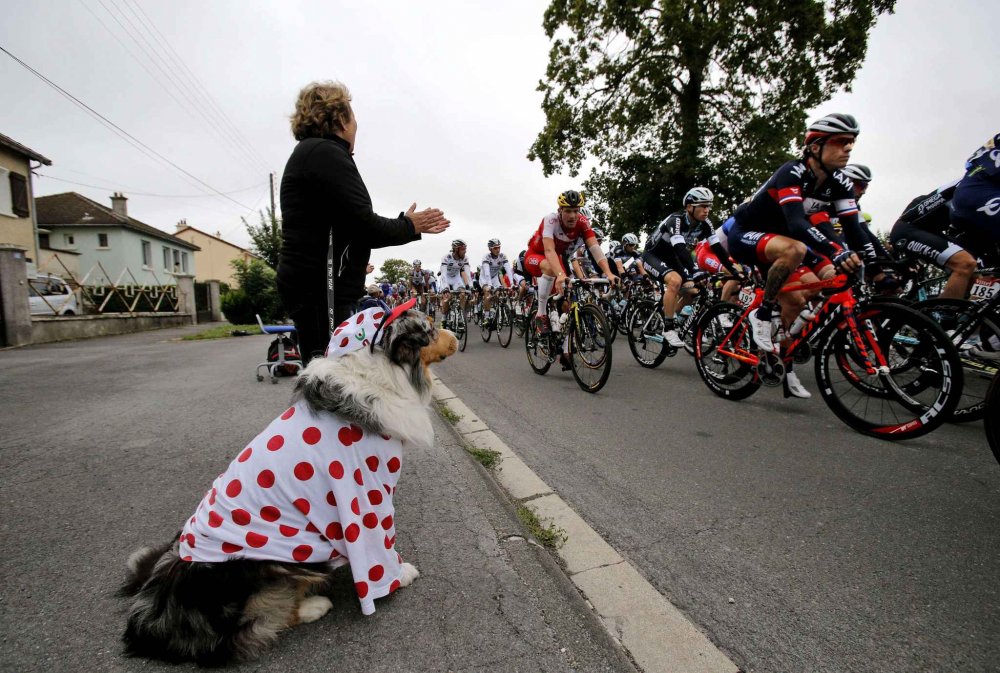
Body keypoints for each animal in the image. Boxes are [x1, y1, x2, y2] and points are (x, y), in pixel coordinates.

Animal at [120, 308, 458, 664]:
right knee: (261, 621)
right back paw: (313, 605)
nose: (456, 335)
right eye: (431, 329)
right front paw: (400, 574)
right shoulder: (366, 492)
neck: (385, 371)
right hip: (272, 566)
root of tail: (159, 609)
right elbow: (380, 544)